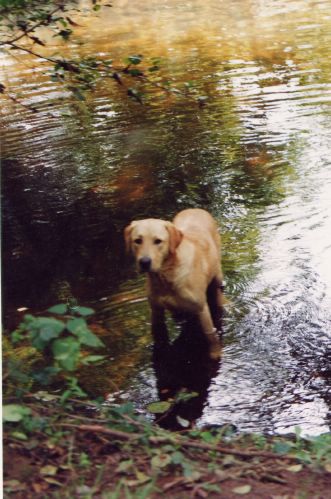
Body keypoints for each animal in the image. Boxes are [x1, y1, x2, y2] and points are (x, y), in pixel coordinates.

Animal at [126, 208, 224, 360]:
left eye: (158, 241)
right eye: (137, 240)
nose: (144, 262)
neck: (166, 277)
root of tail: (195, 209)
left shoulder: (201, 309)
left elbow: (210, 335)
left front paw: (215, 353)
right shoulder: (156, 311)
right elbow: (159, 335)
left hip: (217, 276)